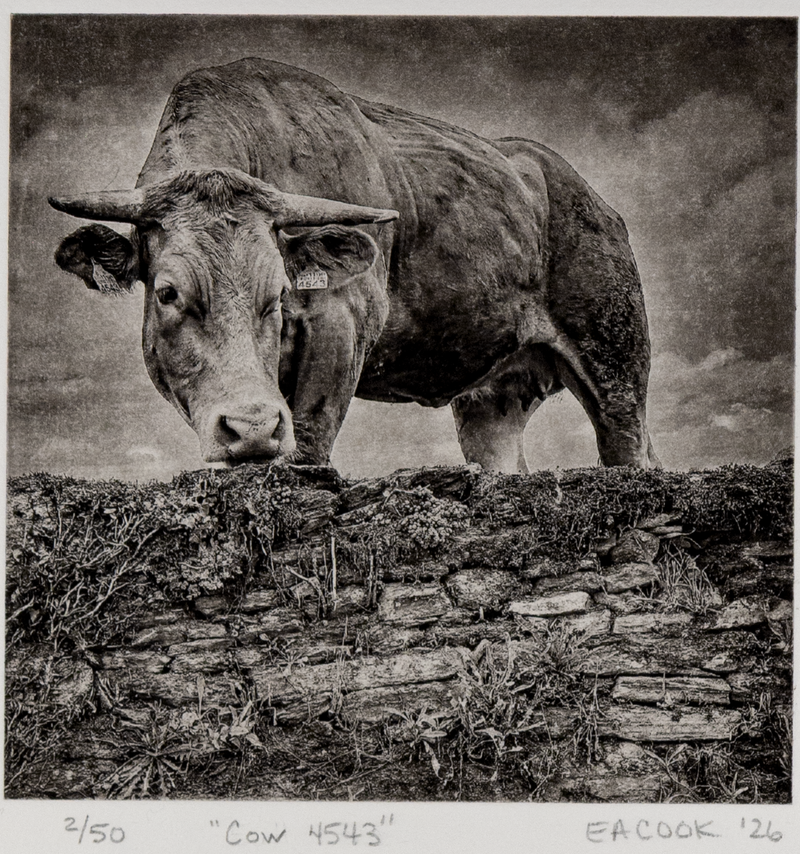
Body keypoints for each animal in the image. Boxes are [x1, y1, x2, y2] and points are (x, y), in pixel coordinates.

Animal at [49, 57, 660, 473]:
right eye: (167, 293)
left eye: (278, 294)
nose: (253, 427)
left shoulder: (342, 323)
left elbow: (309, 441)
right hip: (493, 398)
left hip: (616, 359)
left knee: (630, 446)